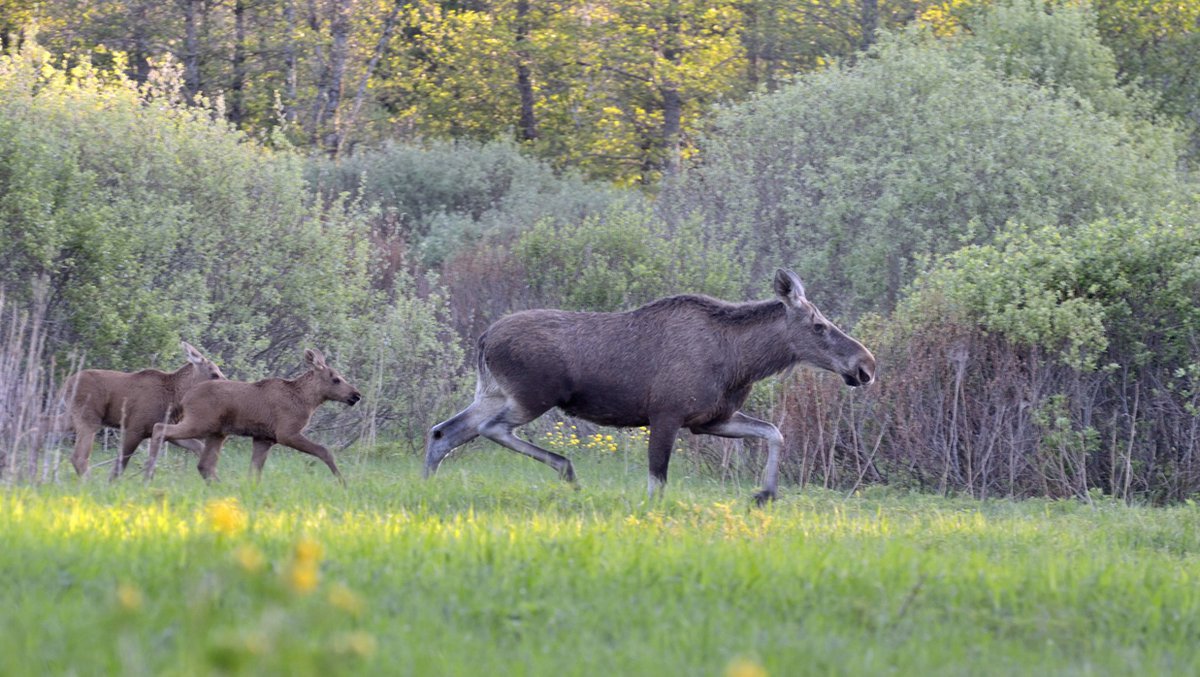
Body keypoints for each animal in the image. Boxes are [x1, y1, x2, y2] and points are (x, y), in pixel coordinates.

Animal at [60, 340, 225, 477]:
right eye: (214, 373)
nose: (226, 383)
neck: (173, 400)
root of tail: (66, 383)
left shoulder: (159, 428)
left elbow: (199, 446)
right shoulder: (135, 427)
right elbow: (119, 465)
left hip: (72, 417)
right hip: (89, 417)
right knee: (79, 456)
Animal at [145, 348, 360, 480]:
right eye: (336, 379)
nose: (356, 395)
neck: (307, 400)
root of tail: (185, 397)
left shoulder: (264, 438)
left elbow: (254, 474)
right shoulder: (287, 433)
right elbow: (325, 451)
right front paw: (343, 483)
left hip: (216, 431)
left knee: (204, 464)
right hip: (199, 423)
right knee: (159, 428)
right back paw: (148, 474)